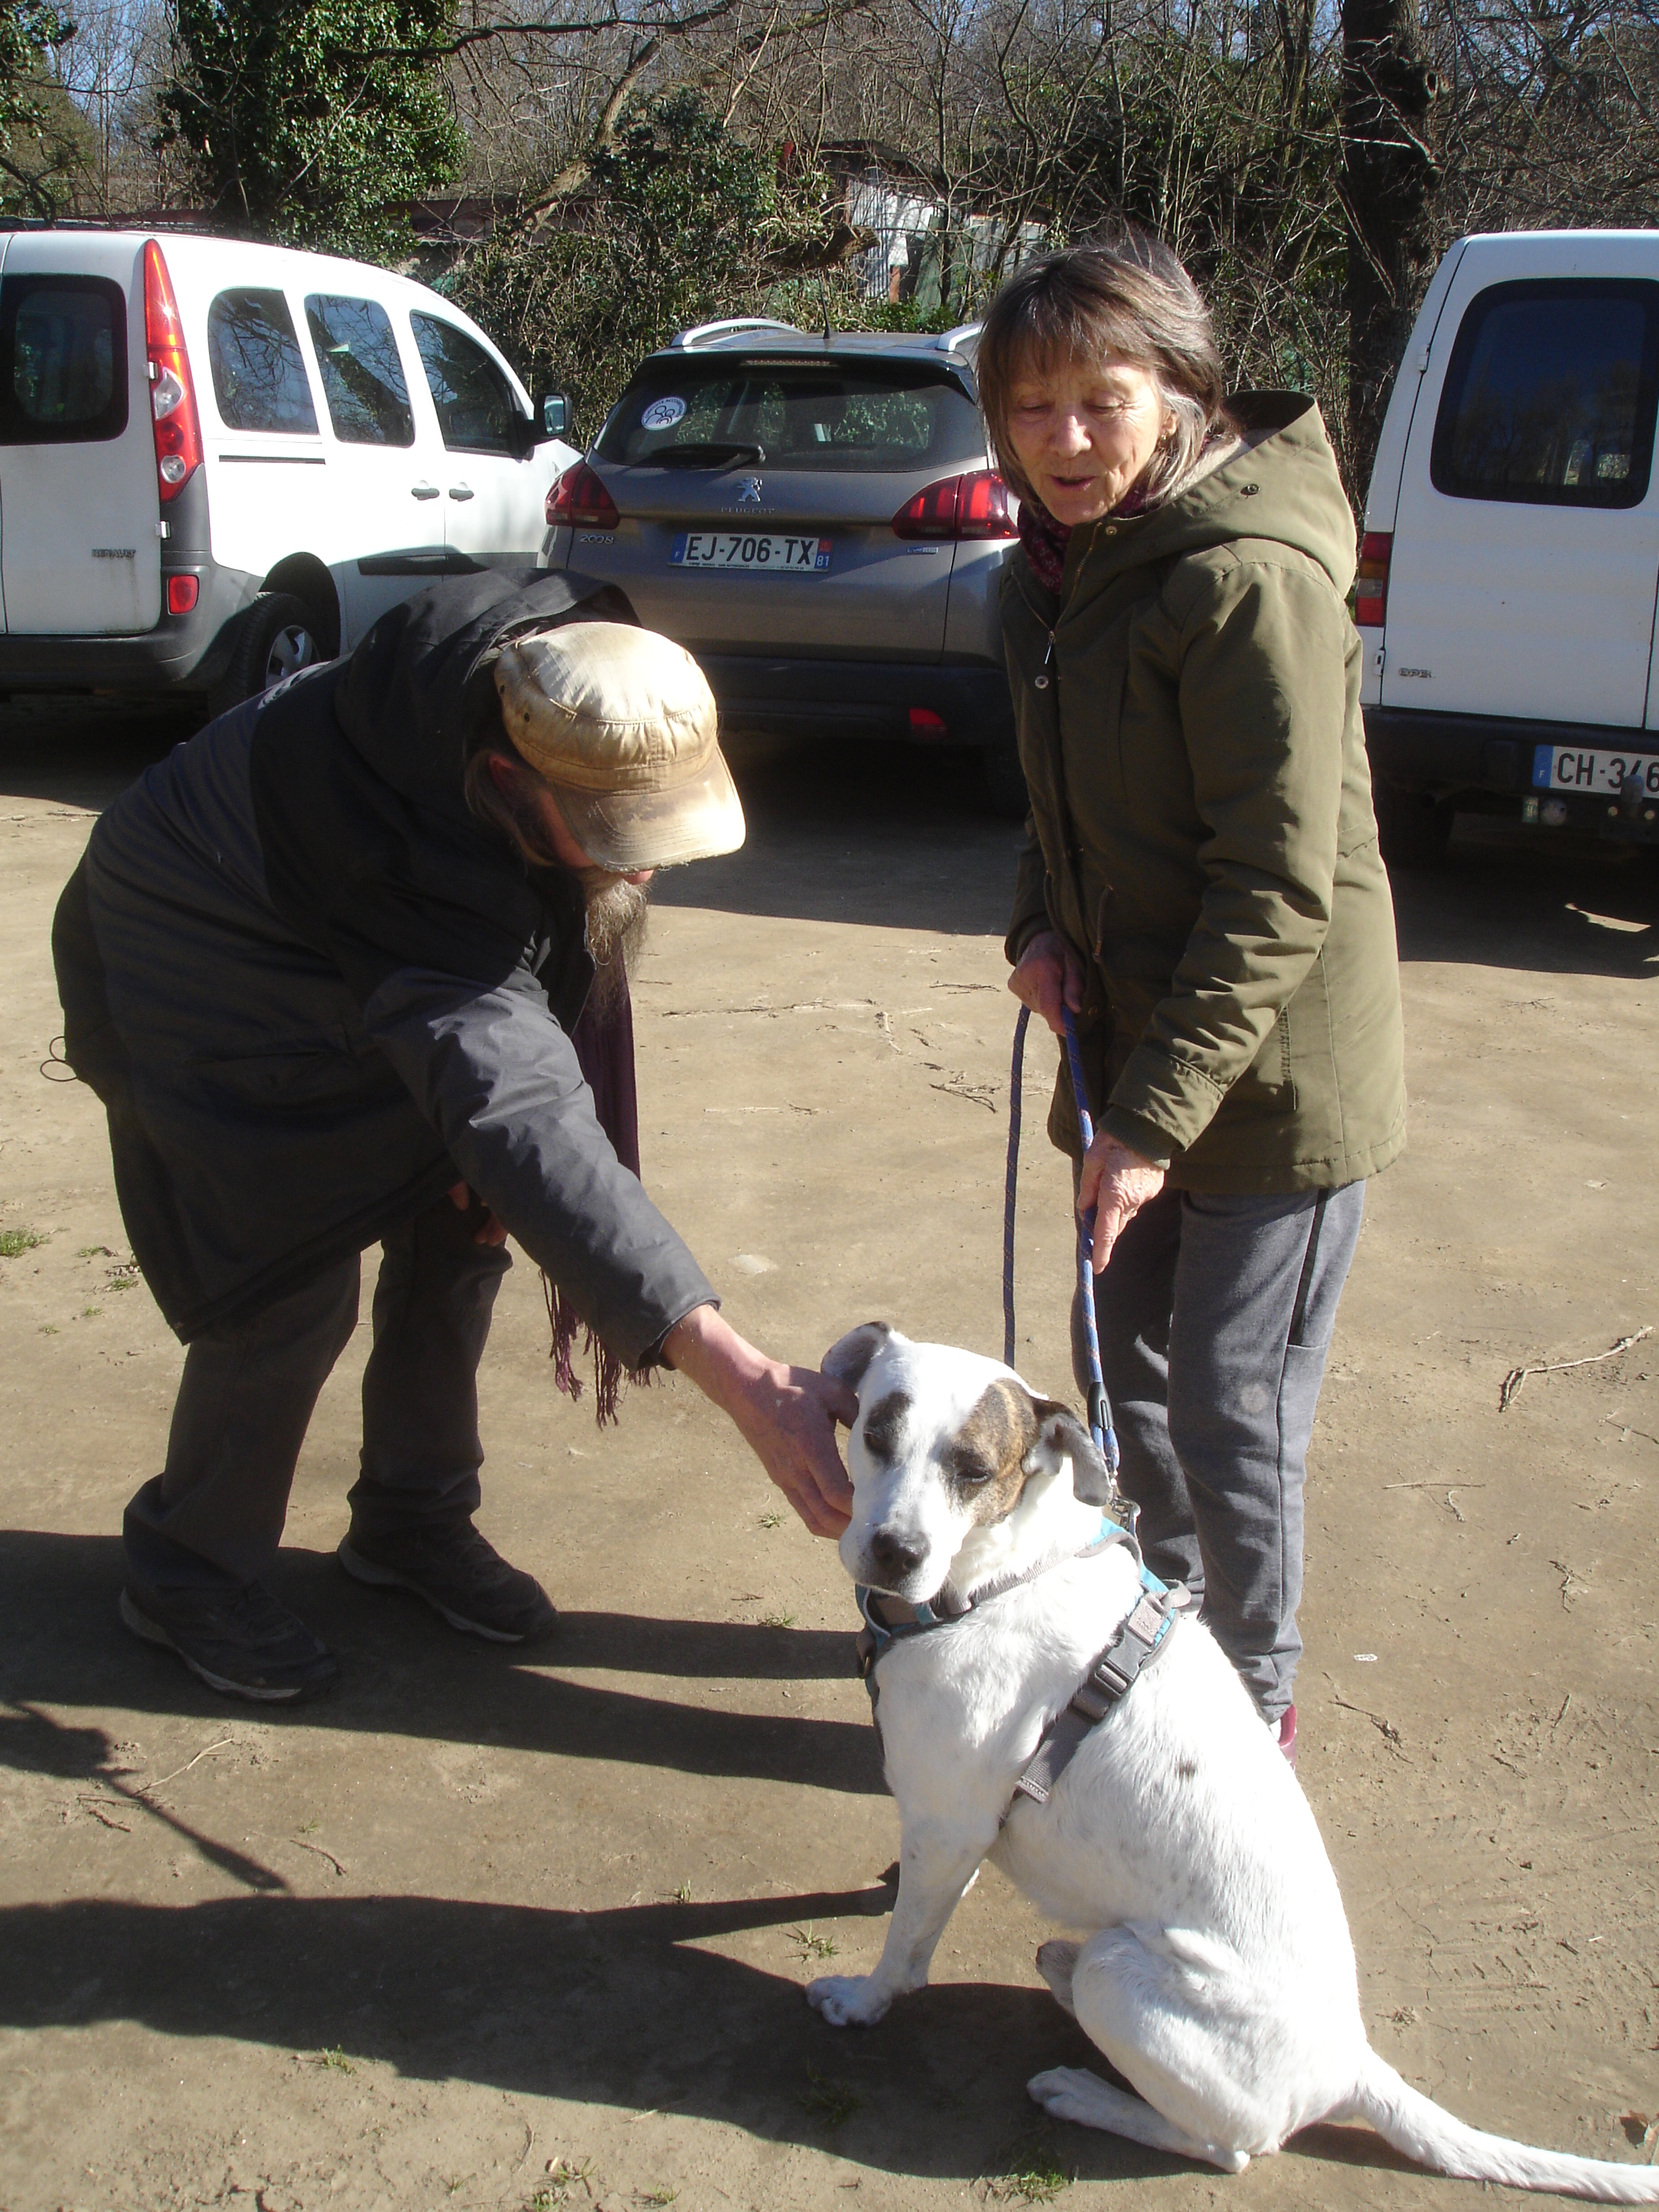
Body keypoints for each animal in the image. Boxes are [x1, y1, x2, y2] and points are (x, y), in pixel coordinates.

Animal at [805, 1323, 1659, 2203]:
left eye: (973, 1471)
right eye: (877, 1435)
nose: (894, 1552)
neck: (997, 1577)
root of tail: (1350, 2062)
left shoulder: (947, 1826)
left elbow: (905, 1953)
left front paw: (863, 2001)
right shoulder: (952, 1827)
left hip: (1130, 1981)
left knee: (1229, 2147)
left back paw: (1085, 2092)